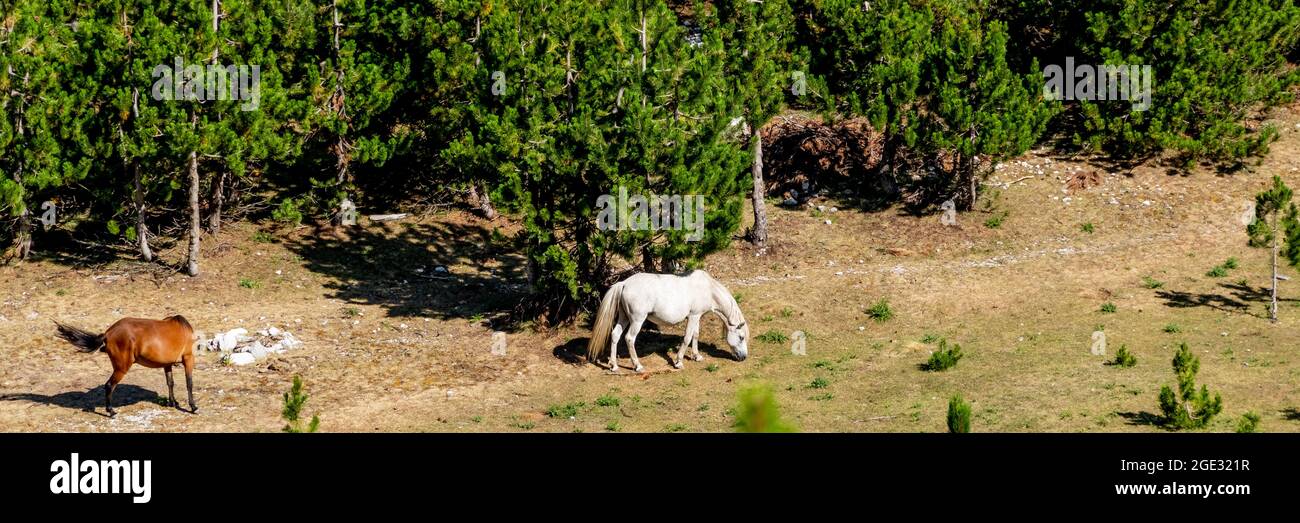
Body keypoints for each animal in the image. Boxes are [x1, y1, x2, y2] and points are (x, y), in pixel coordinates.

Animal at [54, 314, 196, 416]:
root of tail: (108, 333)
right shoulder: (188, 358)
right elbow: (189, 383)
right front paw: (193, 407)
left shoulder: (167, 364)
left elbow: (170, 383)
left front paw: (173, 402)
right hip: (121, 368)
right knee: (109, 385)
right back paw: (111, 411)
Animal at [585, 269, 748, 372]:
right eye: (741, 337)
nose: (744, 357)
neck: (707, 289)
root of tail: (624, 283)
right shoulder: (694, 316)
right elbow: (687, 338)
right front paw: (678, 362)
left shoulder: (697, 316)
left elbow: (695, 335)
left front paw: (697, 356)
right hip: (637, 320)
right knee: (629, 338)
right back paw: (637, 366)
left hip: (624, 317)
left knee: (615, 335)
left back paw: (614, 366)